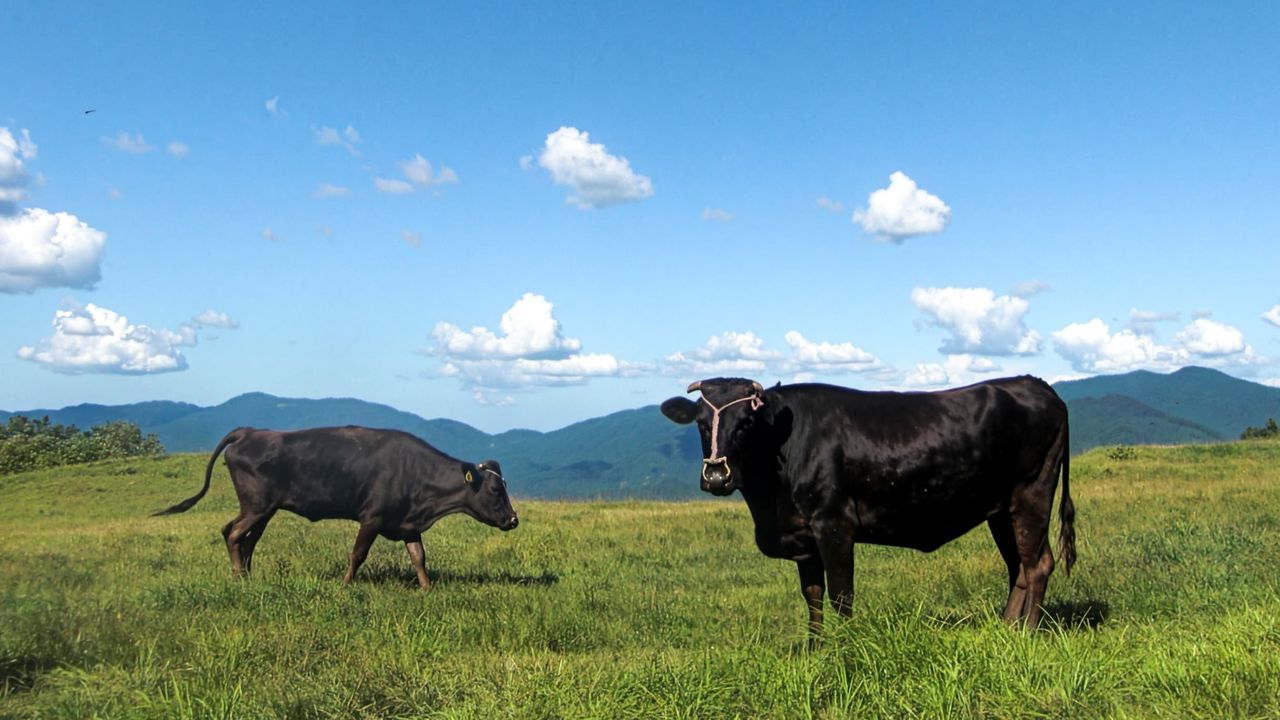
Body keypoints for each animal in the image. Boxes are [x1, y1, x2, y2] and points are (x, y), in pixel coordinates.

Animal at [153, 426, 519, 589]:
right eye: (495, 489)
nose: (514, 520)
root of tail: (250, 431)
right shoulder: (373, 518)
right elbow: (358, 554)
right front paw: (345, 584)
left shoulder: (407, 523)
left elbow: (419, 557)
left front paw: (428, 589)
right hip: (256, 505)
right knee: (231, 532)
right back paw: (238, 576)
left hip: (265, 510)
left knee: (249, 539)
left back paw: (248, 575)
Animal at [660, 376, 1074, 640]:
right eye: (701, 423)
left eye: (746, 422)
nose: (717, 476)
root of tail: (1035, 383)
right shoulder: (803, 536)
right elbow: (812, 595)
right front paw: (815, 650)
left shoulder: (834, 524)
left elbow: (841, 595)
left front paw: (847, 648)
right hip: (1000, 508)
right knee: (1018, 566)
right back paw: (1007, 628)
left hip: (1032, 491)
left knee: (1038, 564)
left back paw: (1028, 633)